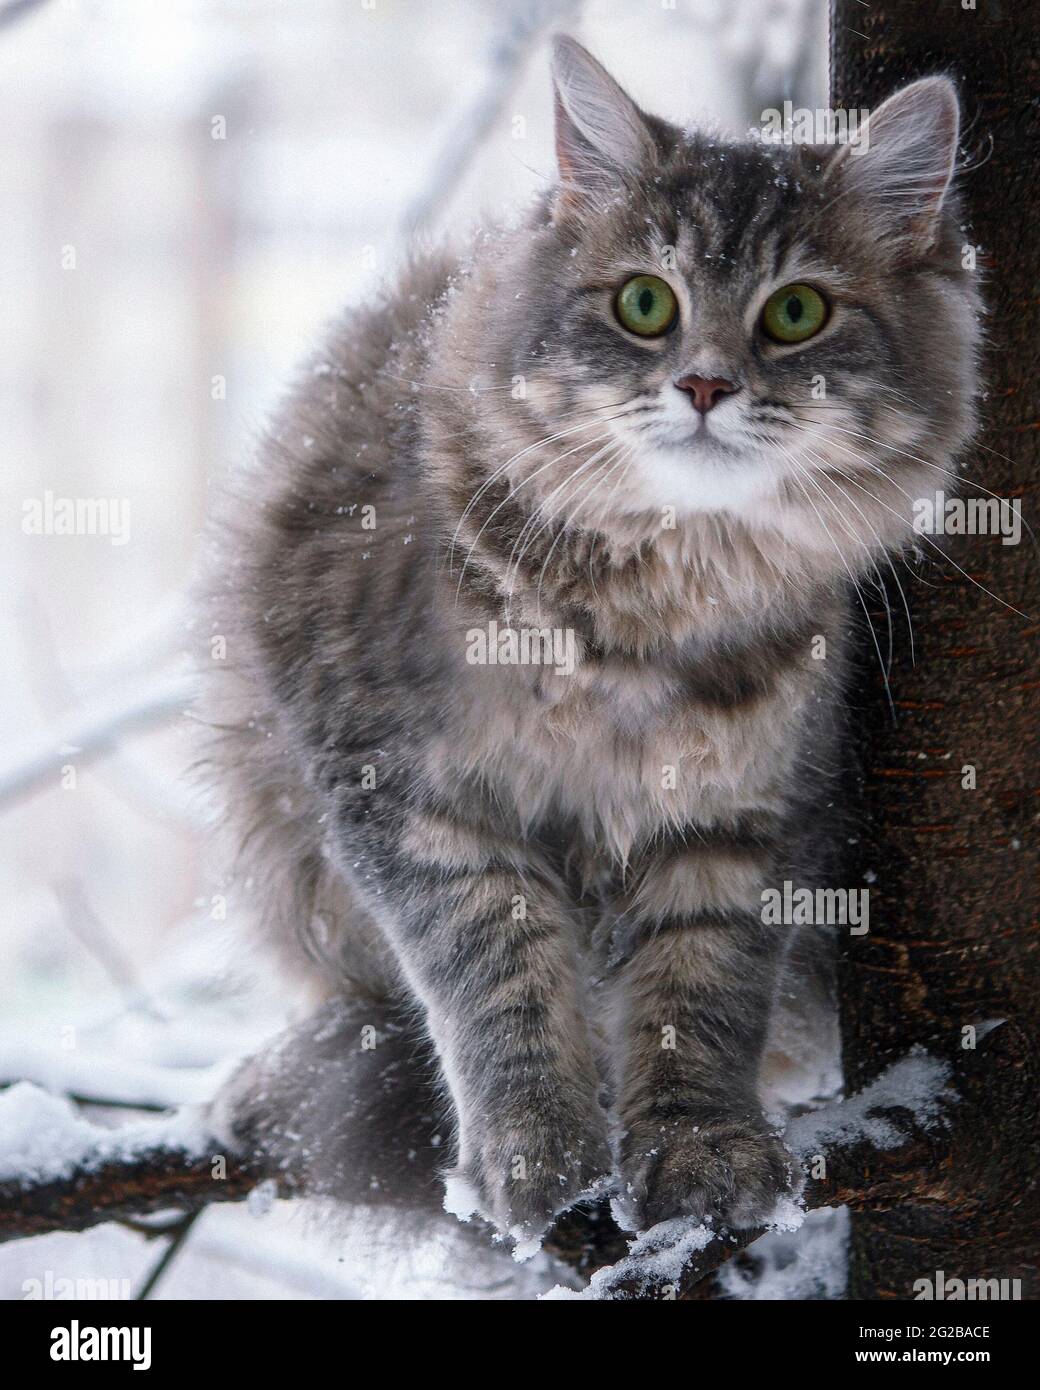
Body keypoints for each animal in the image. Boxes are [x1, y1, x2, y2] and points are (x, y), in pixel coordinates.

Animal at [205, 35, 984, 1251]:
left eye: (796, 313)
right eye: (643, 302)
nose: (704, 383)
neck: (649, 620)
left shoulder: (741, 822)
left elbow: (698, 996)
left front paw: (699, 1151)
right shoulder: (412, 801)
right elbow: (499, 983)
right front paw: (534, 1154)